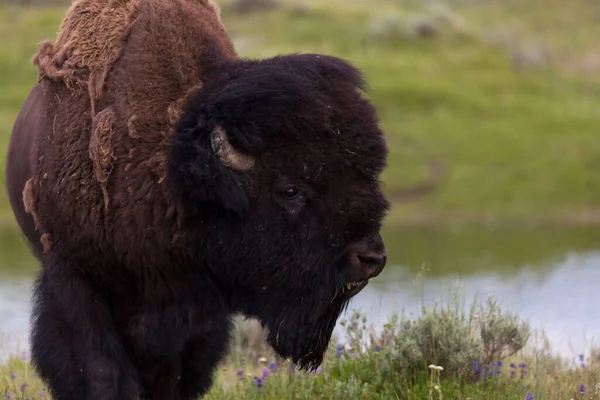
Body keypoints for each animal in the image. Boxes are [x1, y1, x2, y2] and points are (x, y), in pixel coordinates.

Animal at [7, 0, 392, 398]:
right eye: (290, 190)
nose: (371, 258)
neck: (170, 167)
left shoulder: (197, 307)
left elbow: (176, 373)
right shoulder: (74, 275)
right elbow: (100, 370)